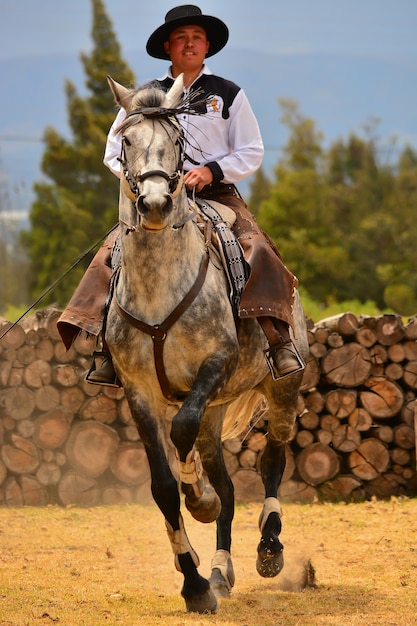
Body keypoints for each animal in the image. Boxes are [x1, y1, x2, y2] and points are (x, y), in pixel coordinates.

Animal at [104, 74, 308, 608]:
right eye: (126, 141)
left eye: (177, 141)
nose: (154, 204)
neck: (159, 286)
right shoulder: (138, 392)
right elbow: (162, 485)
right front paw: (194, 582)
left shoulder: (215, 363)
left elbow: (181, 434)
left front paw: (199, 499)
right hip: (216, 415)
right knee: (232, 487)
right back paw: (219, 570)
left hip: (282, 388)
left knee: (273, 455)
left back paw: (269, 546)